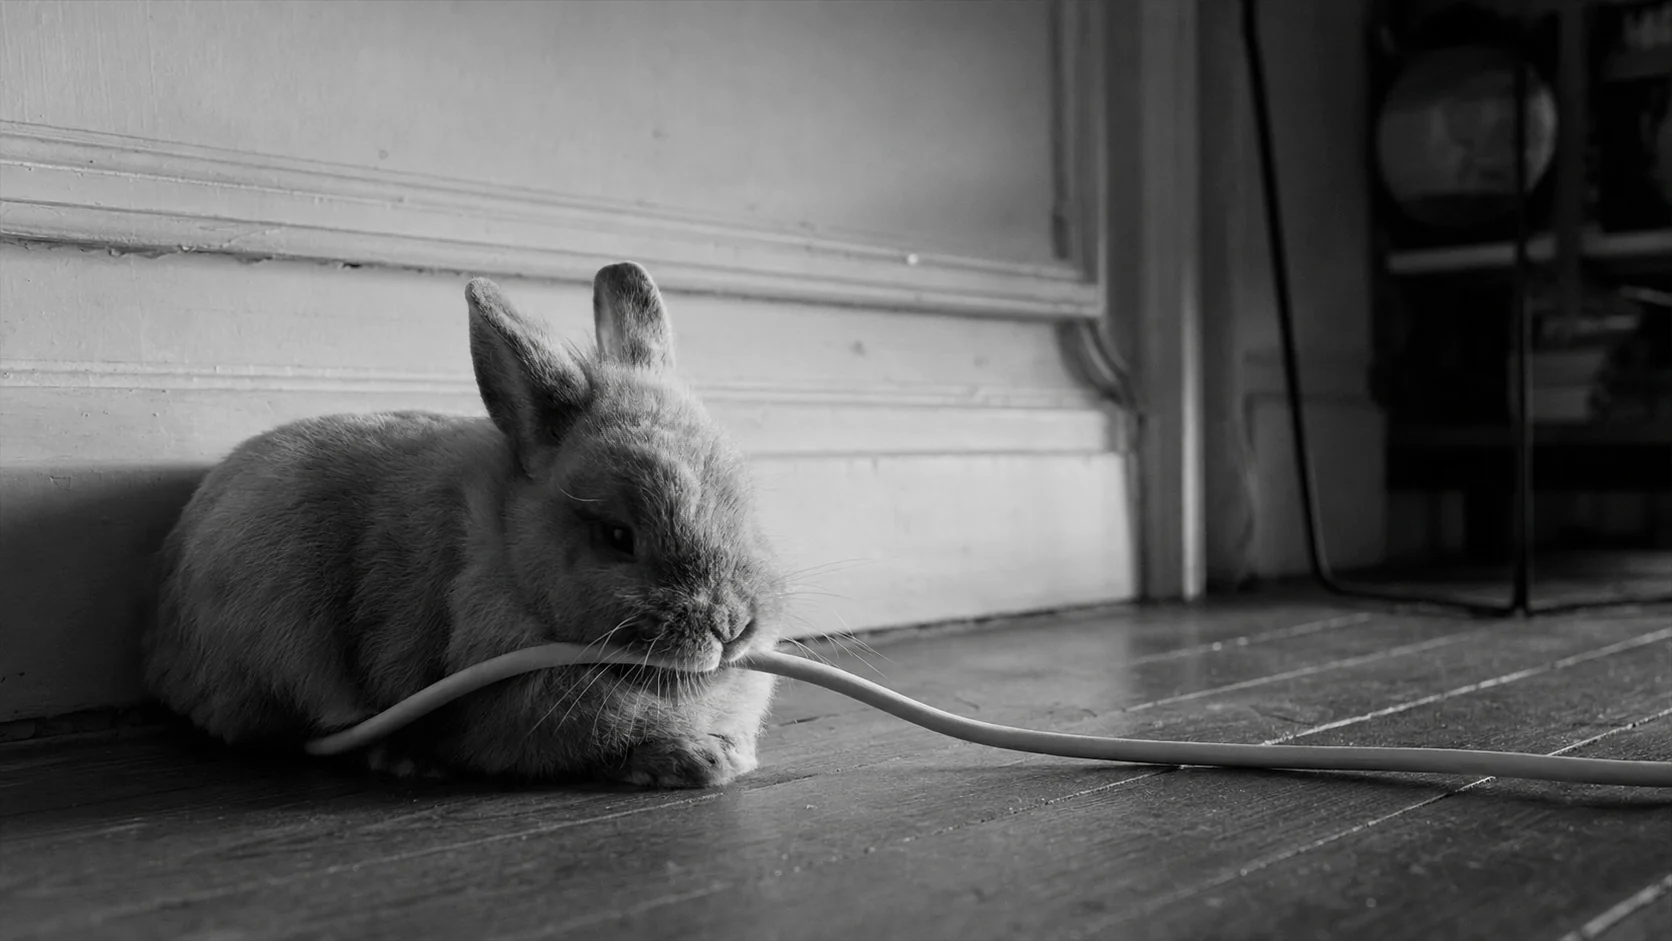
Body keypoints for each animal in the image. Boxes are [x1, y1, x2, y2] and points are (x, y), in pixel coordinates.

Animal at [140, 263, 782, 788]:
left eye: (744, 506)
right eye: (617, 537)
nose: (731, 628)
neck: (508, 566)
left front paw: (728, 754)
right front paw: (696, 759)